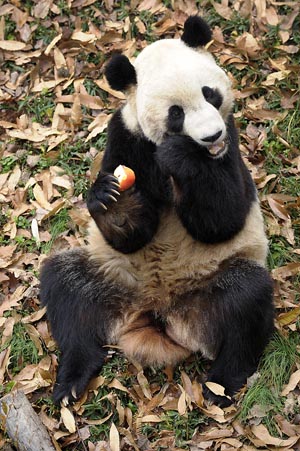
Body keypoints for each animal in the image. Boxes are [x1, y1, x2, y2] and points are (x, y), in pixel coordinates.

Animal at [40, 15, 274, 408]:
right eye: (175, 113)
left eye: (209, 93)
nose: (211, 136)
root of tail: (156, 310)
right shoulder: (126, 135)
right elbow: (133, 233)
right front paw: (115, 201)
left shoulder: (231, 141)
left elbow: (223, 221)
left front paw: (182, 160)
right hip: (113, 278)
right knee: (66, 290)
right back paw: (72, 377)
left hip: (209, 286)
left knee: (245, 302)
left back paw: (222, 383)